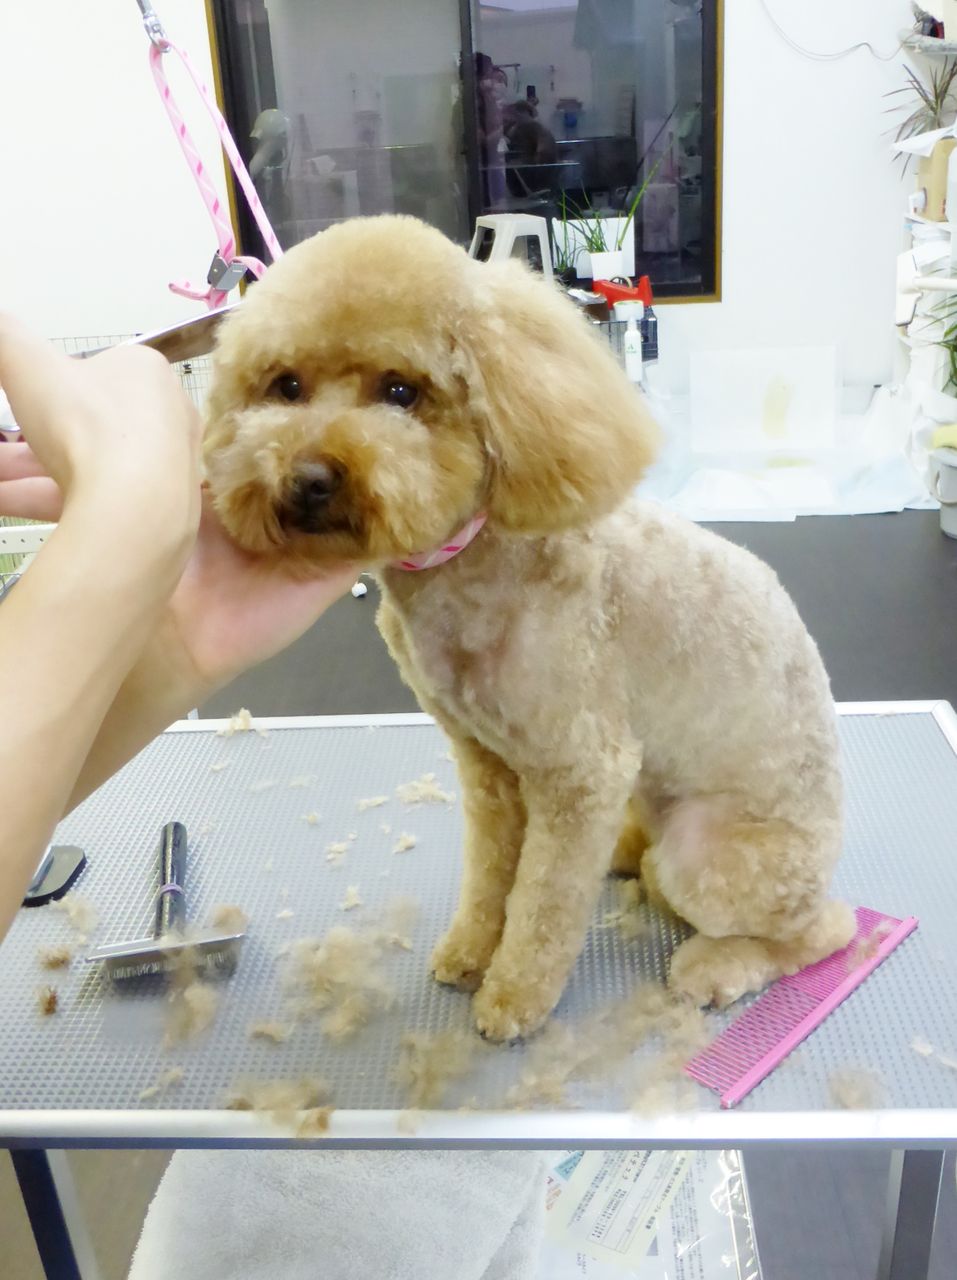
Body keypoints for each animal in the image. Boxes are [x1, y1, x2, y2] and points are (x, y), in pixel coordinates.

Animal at [204, 215, 855, 1042]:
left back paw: (717, 963)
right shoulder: (486, 762)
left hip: (714, 854)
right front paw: (469, 953)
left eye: (401, 391)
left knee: (819, 928)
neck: (466, 563)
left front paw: (513, 996)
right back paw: (628, 853)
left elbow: (542, 901)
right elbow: (492, 876)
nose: (309, 479)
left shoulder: (578, 771)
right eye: (285, 385)